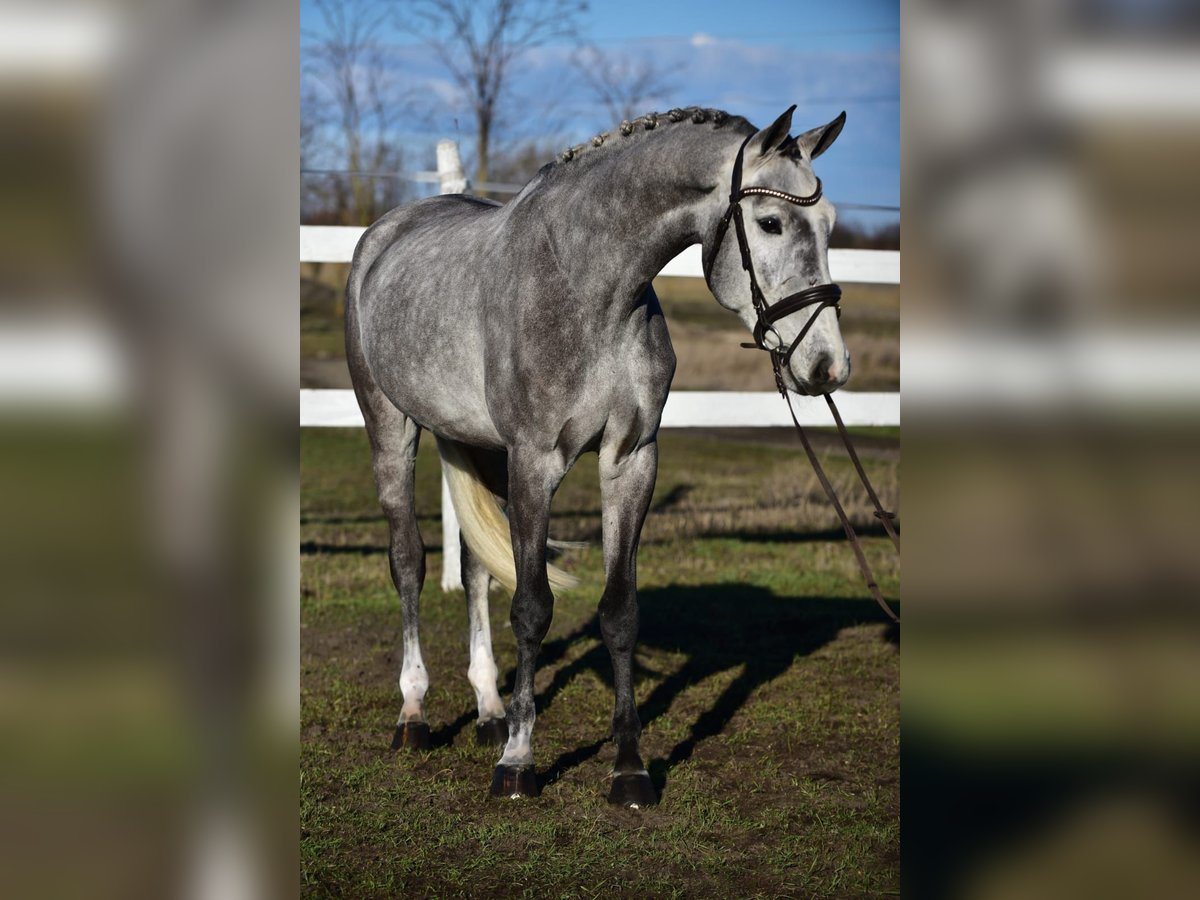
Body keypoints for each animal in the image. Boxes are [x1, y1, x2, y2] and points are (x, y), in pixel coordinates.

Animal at [345, 105, 850, 806]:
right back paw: (415, 715)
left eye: (829, 224)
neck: (588, 287)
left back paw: (488, 709)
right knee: (409, 564)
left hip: (477, 446)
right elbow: (532, 608)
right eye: (771, 223)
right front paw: (518, 764)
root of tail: (385, 233)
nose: (827, 366)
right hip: (390, 429)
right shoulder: (535, 465)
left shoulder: (631, 460)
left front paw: (629, 768)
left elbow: (619, 612)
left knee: (475, 568)